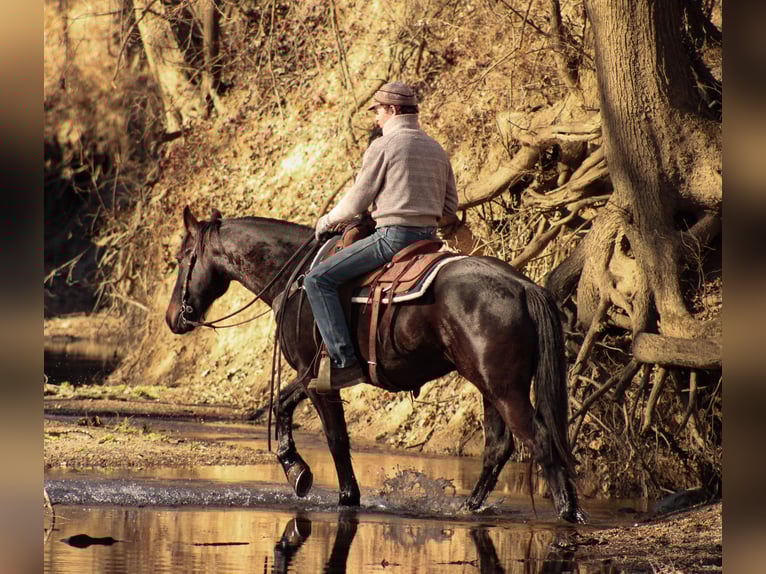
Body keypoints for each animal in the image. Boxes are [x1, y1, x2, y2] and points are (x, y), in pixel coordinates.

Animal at [165, 206, 584, 523]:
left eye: (183, 258)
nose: (173, 317)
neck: (295, 279)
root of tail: (522, 285)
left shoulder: (313, 375)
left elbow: (327, 434)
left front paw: (305, 475)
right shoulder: (316, 378)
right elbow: (291, 409)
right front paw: (302, 472)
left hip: (503, 388)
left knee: (540, 440)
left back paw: (568, 514)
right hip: (489, 386)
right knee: (498, 448)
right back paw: (469, 508)